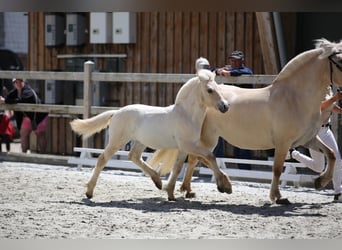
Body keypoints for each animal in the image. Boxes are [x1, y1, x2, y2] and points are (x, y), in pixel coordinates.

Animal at [69, 69, 230, 201]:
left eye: (218, 87)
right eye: (209, 90)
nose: (225, 106)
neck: (186, 115)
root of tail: (117, 112)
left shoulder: (184, 148)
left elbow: (178, 168)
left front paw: (170, 194)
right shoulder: (189, 145)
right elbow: (210, 156)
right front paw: (224, 187)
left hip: (140, 142)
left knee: (133, 156)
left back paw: (157, 181)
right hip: (117, 140)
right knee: (103, 159)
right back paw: (89, 192)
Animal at [150, 38, 342, 203]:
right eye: (339, 61)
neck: (294, 97)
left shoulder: (307, 139)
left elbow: (331, 154)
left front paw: (320, 182)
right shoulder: (283, 143)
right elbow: (277, 169)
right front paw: (277, 197)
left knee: (193, 158)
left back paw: (188, 190)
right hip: (207, 138)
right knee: (199, 157)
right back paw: (219, 185)